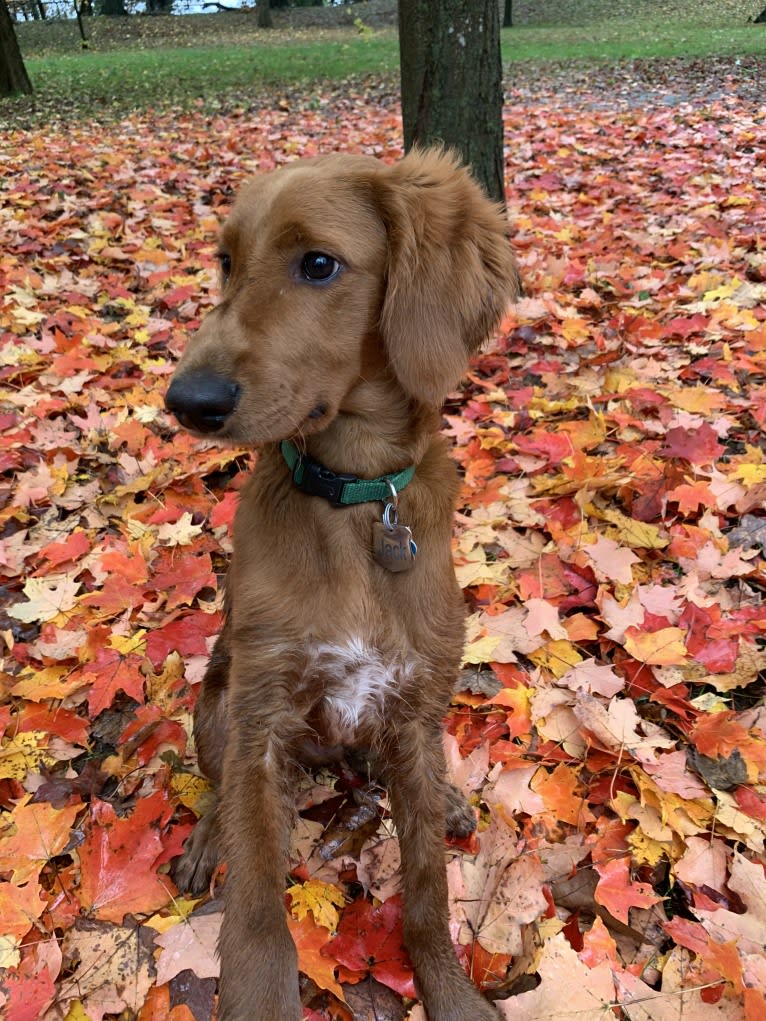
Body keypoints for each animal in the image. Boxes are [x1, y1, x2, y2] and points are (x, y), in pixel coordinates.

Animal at [164, 146, 518, 1021]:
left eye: (318, 264)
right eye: (226, 262)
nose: (186, 401)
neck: (355, 498)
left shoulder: (416, 702)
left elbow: (426, 894)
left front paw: (450, 992)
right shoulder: (260, 719)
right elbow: (258, 920)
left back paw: (451, 799)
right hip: (215, 702)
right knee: (220, 788)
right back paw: (208, 836)